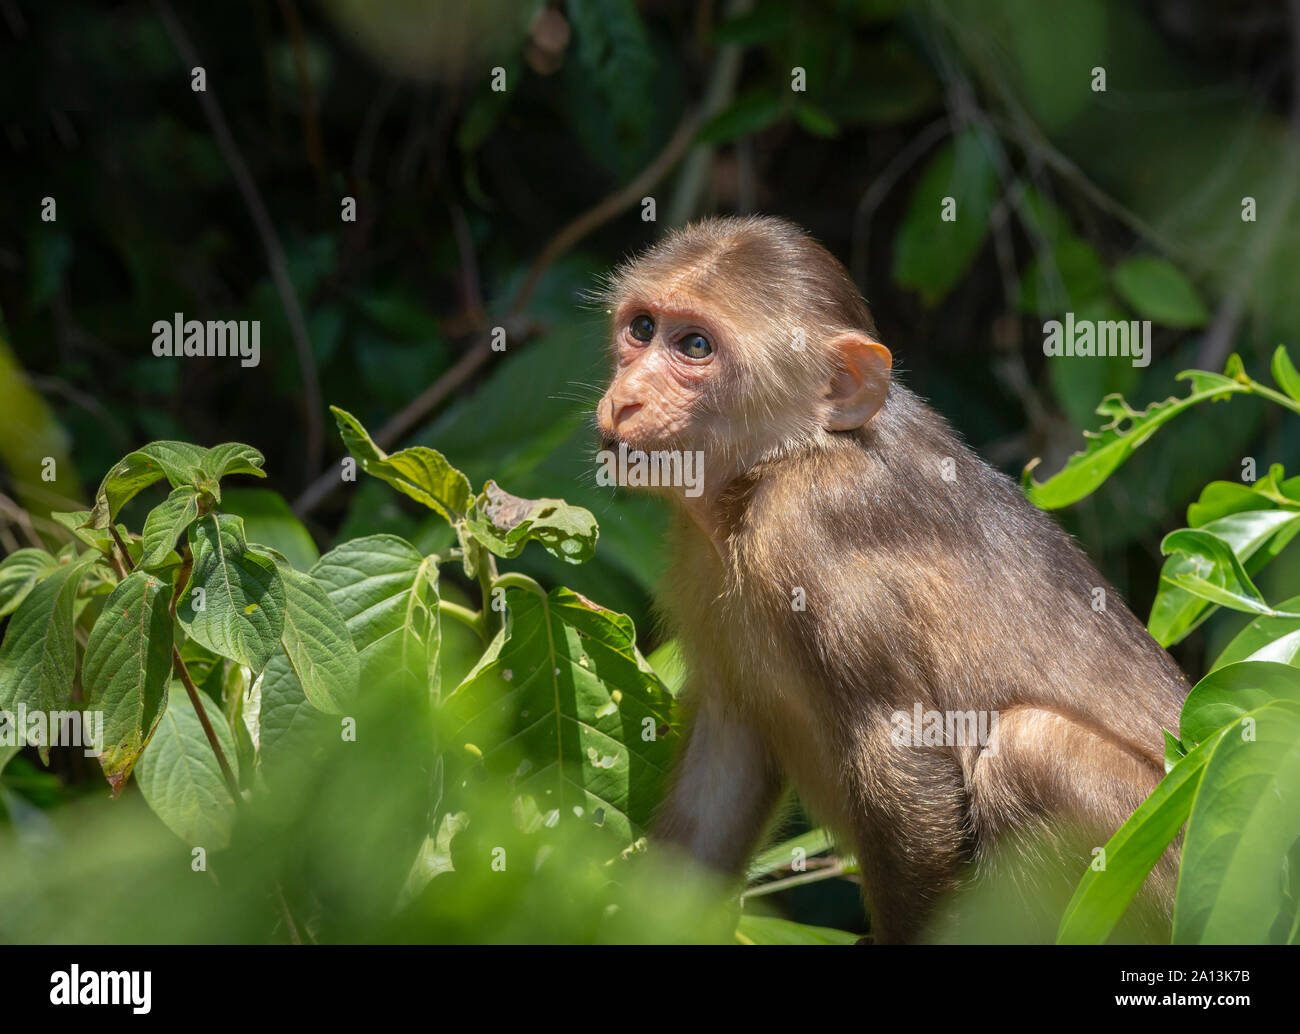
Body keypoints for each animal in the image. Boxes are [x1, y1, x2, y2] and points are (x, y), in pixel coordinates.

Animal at [595, 214, 1190, 941]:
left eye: (696, 346)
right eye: (642, 328)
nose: (626, 400)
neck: (776, 464)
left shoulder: (809, 535)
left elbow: (904, 763)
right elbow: (725, 761)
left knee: (1033, 745)